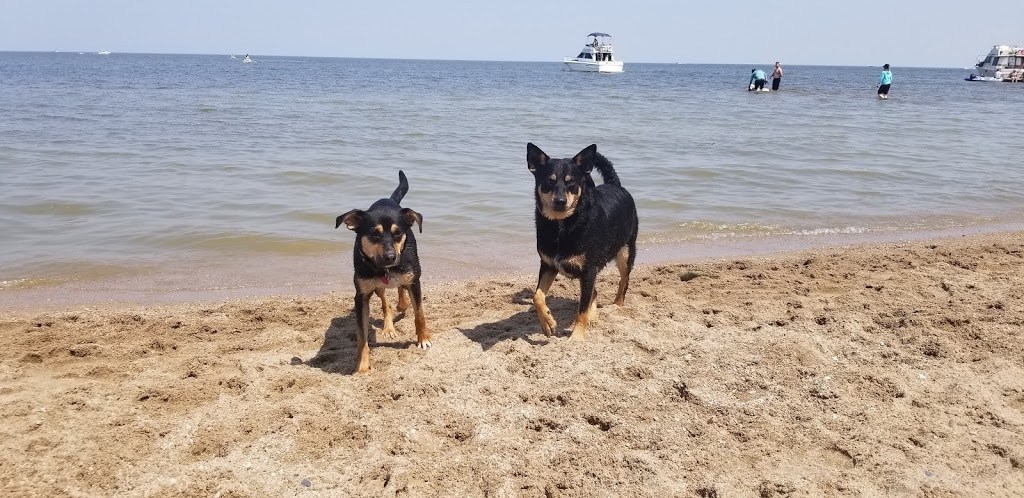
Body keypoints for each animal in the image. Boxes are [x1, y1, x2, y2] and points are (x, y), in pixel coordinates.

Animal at [335, 169, 428, 370]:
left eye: (398, 232)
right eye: (374, 234)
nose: (390, 257)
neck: (386, 270)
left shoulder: (414, 281)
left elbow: (419, 313)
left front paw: (424, 339)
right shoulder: (361, 295)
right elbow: (362, 335)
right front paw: (362, 367)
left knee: (400, 292)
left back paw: (402, 304)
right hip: (377, 287)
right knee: (387, 304)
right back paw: (389, 326)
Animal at [532, 142, 634, 340]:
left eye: (571, 182)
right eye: (549, 180)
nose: (560, 201)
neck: (562, 225)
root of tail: (614, 184)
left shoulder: (588, 270)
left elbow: (582, 309)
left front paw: (577, 337)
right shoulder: (548, 264)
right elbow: (537, 296)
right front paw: (547, 322)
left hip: (626, 252)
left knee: (623, 282)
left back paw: (617, 306)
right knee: (595, 292)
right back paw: (595, 316)